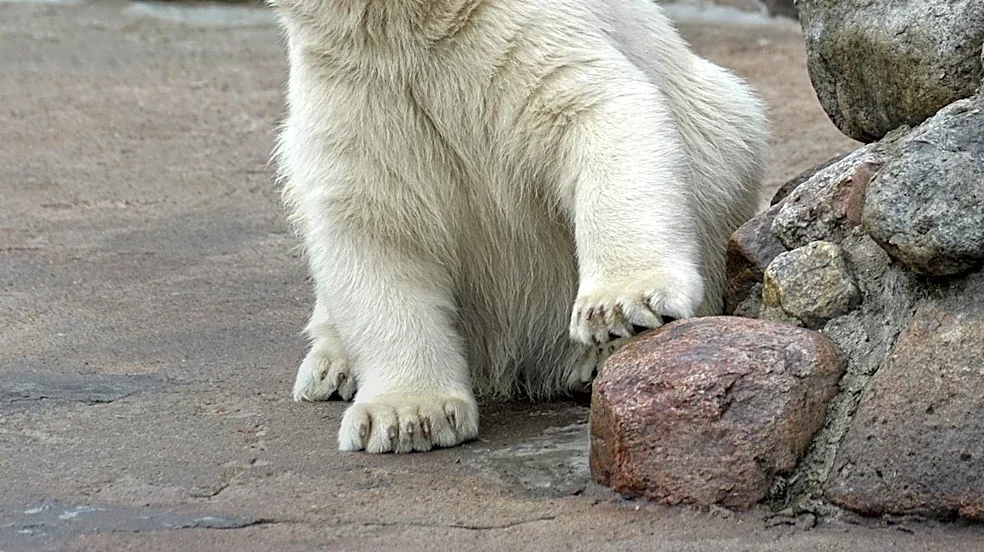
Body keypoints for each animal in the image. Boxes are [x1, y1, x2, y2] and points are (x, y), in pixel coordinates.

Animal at [271, 0, 768, 453]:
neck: (410, 27)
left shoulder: (514, 35)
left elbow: (600, 111)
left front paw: (620, 307)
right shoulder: (353, 81)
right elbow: (371, 224)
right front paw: (408, 417)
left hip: (720, 139)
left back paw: (591, 360)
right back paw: (331, 367)